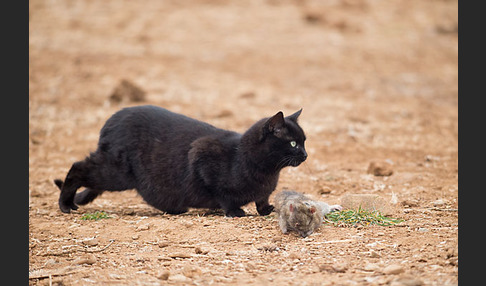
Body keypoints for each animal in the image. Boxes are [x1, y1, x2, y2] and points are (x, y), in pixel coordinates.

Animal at [54, 105, 308, 217]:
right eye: (293, 144)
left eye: (304, 141)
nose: (306, 155)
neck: (269, 171)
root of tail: (111, 119)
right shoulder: (202, 154)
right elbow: (223, 194)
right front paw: (235, 211)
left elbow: (261, 198)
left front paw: (264, 209)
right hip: (115, 173)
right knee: (77, 168)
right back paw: (65, 204)